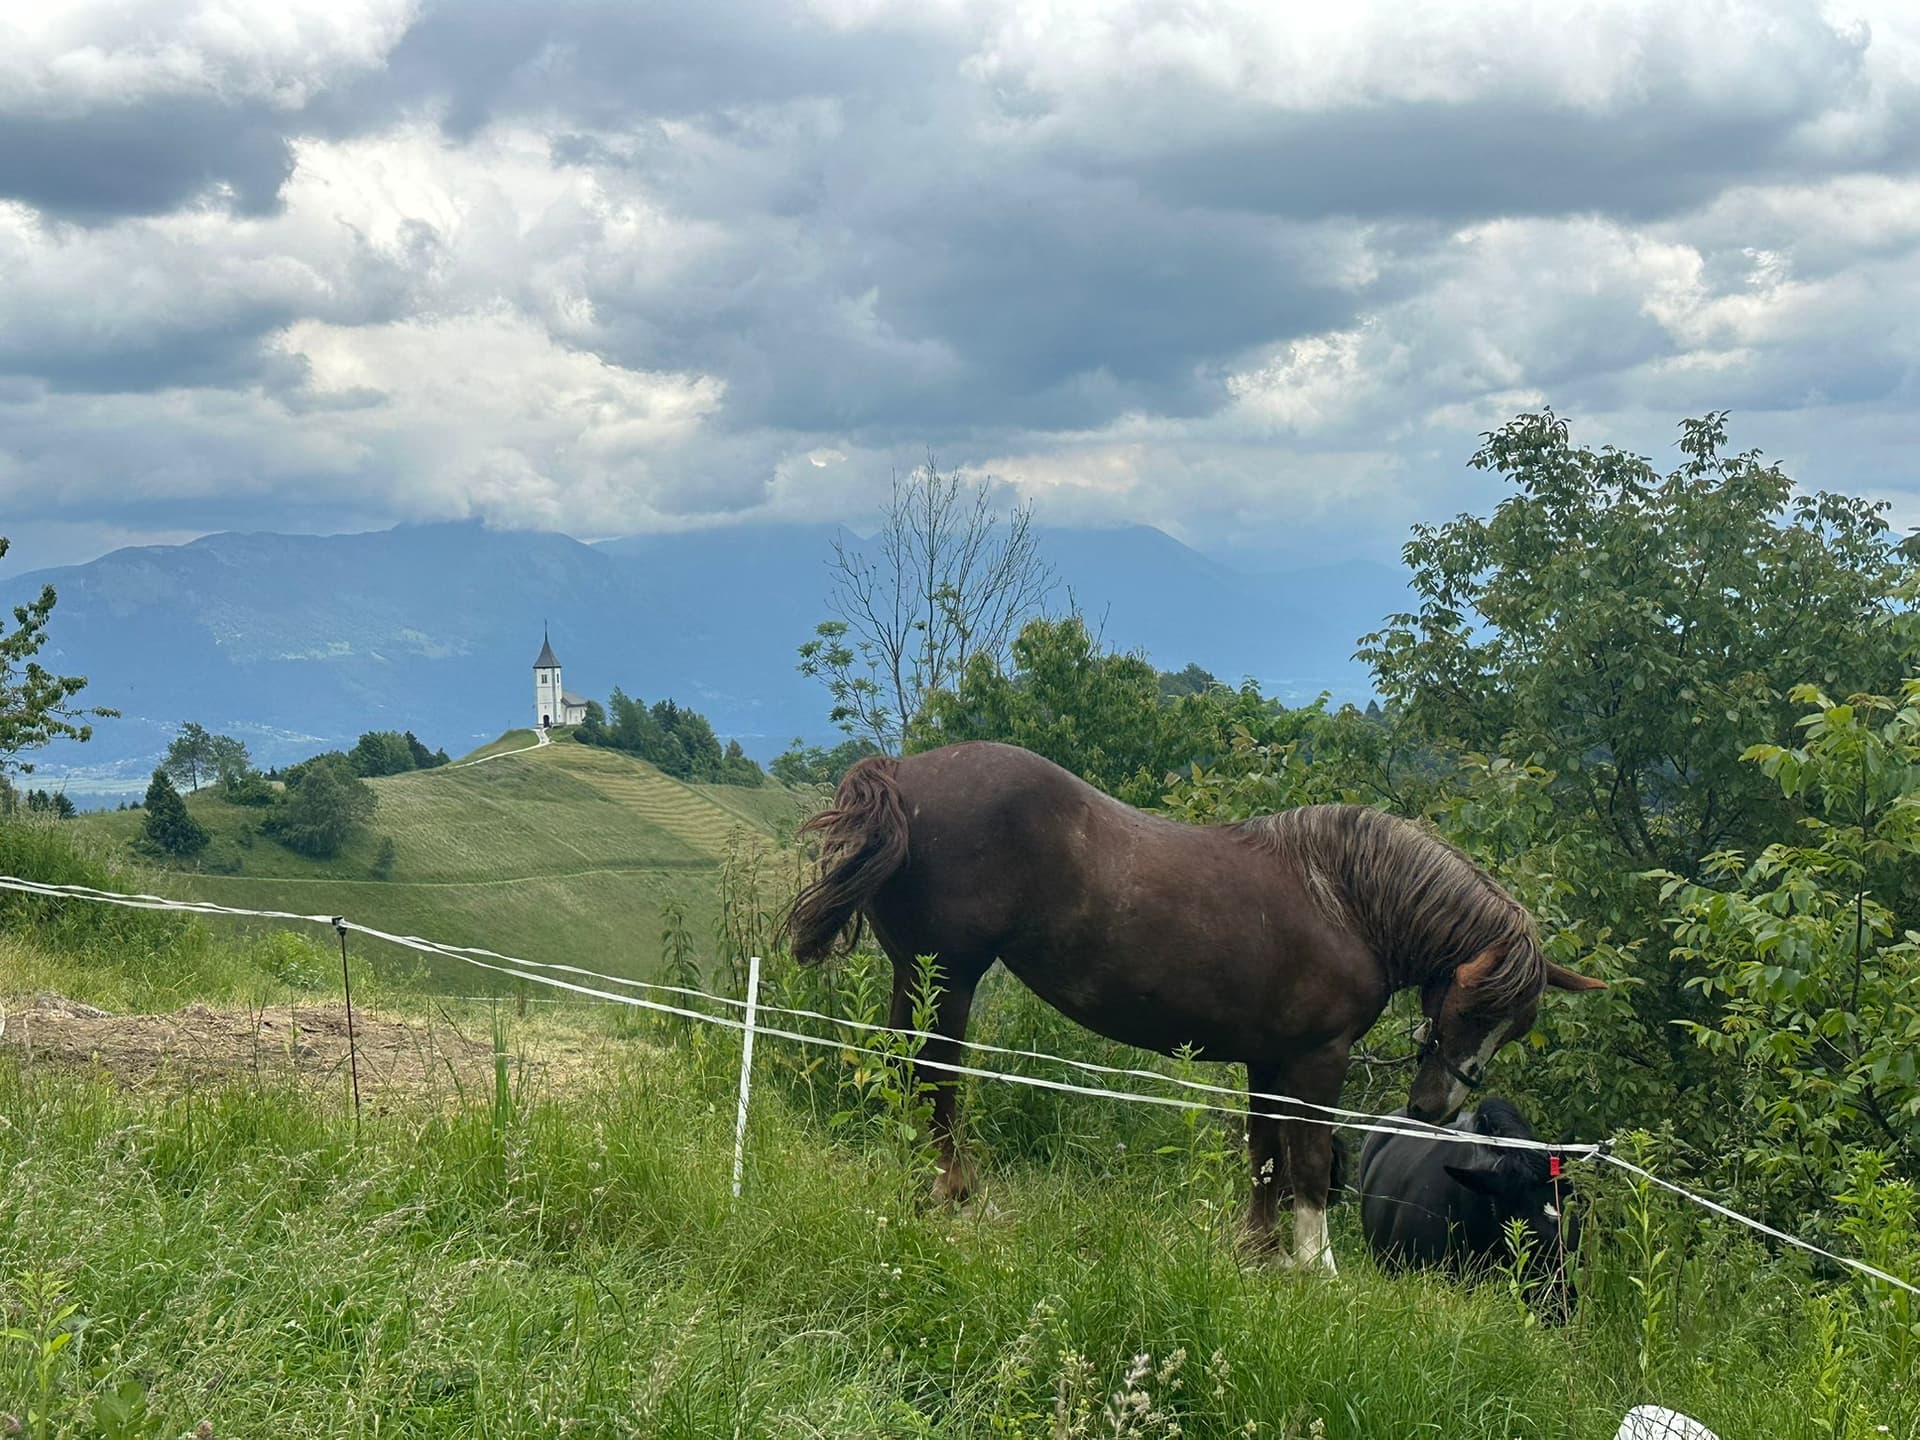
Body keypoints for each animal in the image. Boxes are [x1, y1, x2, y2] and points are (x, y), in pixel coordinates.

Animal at [784, 741, 1604, 1270]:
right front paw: (1317, 1269)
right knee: (938, 1081)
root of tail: (901, 772)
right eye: (1471, 1010)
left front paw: (1259, 1254)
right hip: (949, 980)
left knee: (908, 1072)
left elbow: (1264, 1157)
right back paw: (952, 1190)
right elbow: (1307, 1162)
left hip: (917, 977)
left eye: (1515, 1027)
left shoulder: (1271, 1062)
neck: (1344, 899)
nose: (1435, 1107)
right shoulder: (1317, 1063)